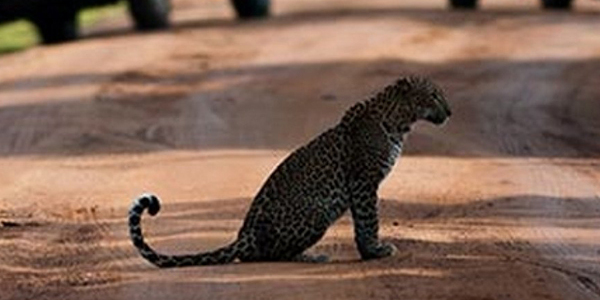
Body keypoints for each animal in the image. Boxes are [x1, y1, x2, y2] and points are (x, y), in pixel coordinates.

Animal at [129, 75, 452, 268]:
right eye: (434, 95)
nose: (450, 112)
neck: (399, 122)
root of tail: (244, 235)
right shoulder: (363, 182)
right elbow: (368, 220)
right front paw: (374, 251)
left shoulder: (364, 184)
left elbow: (364, 221)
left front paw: (370, 251)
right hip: (317, 211)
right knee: (266, 255)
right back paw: (312, 255)